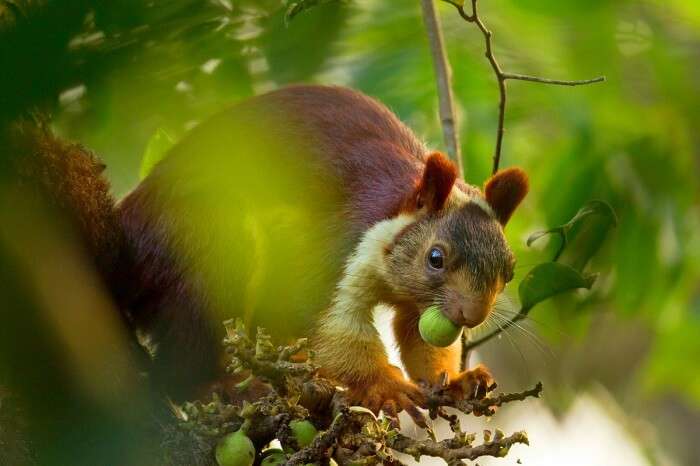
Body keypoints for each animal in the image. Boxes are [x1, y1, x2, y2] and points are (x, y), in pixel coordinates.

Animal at [10, 85, 528, 420]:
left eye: (509, 270)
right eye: (435, 258)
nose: (470, 315)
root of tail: (125, 254)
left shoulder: (420, 305)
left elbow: (420, 338)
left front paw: (454, 381)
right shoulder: (336, 248)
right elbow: (331, 328)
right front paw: (387, 386)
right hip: (212, 246)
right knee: (178, 361)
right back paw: (223, 384)